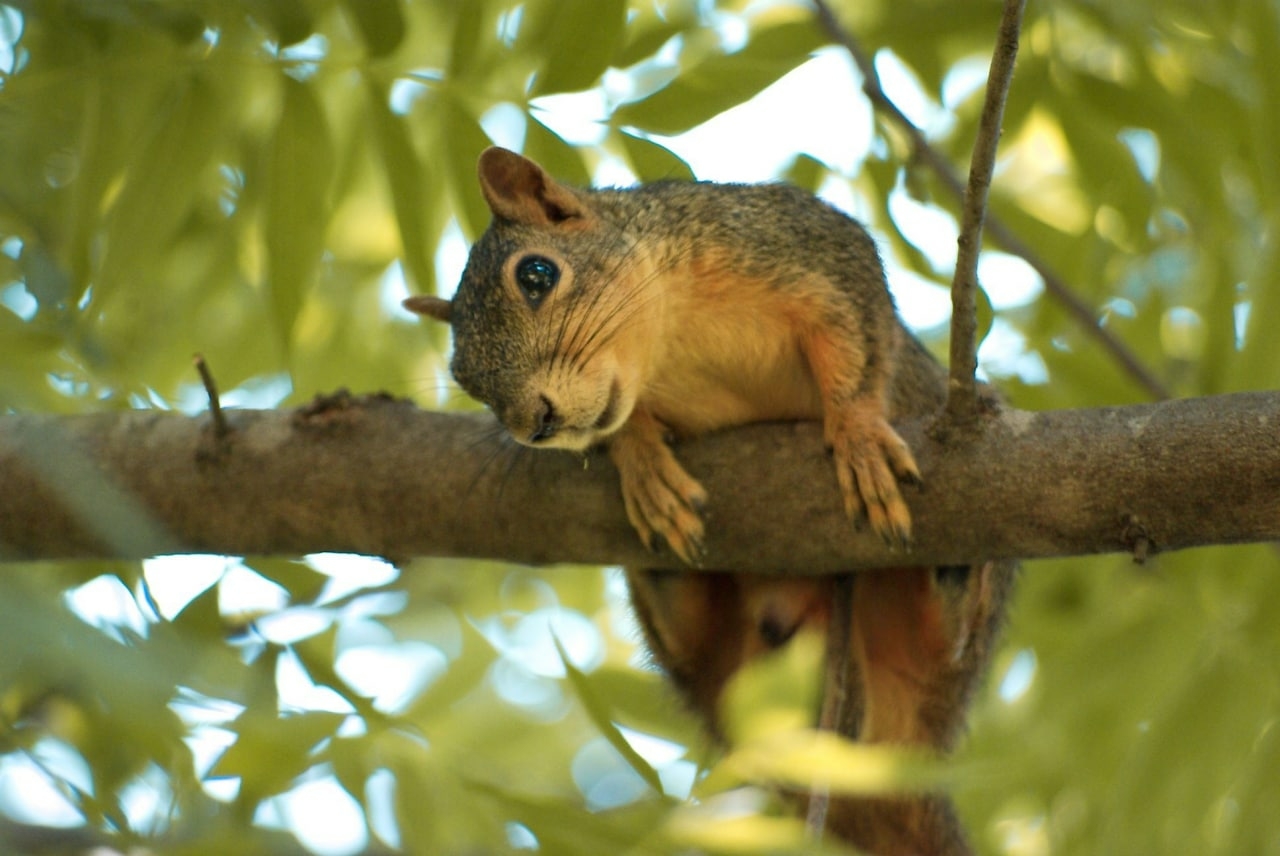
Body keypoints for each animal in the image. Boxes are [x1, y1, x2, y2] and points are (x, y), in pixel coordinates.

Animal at [404, 148, 1013, 854]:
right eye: (466, 379)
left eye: (536, 274)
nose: (536, 424)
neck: (668, 342)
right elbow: (623, 428)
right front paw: (641, 460)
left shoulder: (807, 246)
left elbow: (855, 344)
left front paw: (858, 432)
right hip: (727, 670)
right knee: (694, 634)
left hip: (943, 651)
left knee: (945, 645)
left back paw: (957, 571)